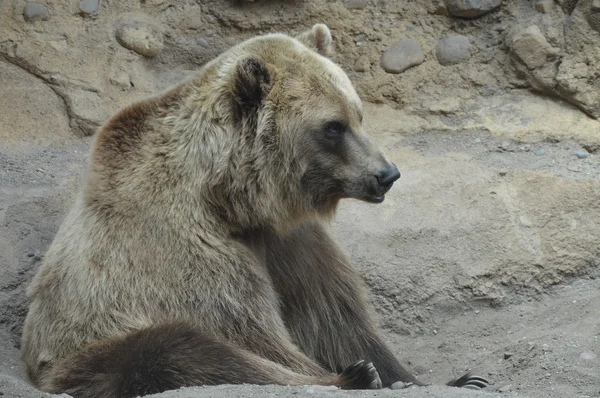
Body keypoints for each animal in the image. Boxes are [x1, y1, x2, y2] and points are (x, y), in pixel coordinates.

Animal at [19, 23, 488, 396]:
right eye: (332, 127)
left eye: (357, 115)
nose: (386, 174)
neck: (231, 199)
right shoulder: (185, 249)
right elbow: (252, 335)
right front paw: (355, 373)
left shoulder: (289, 240)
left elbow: (335, 316)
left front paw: (444, 377)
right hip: (85, 352)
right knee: (174, 351)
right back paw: (348, 378)